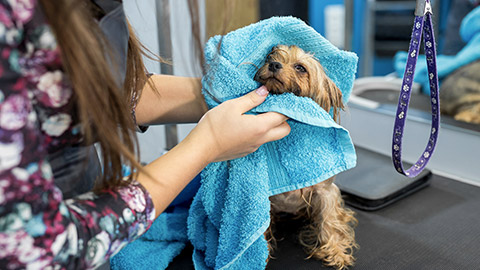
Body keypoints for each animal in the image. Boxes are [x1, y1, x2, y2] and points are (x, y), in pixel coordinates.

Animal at [253, 45, 358, 268]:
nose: (274, 64)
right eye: (270, 57)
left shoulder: (326, 192)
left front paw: (336, 251)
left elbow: (329, 221)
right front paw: (260, 254)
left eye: (300, 67)